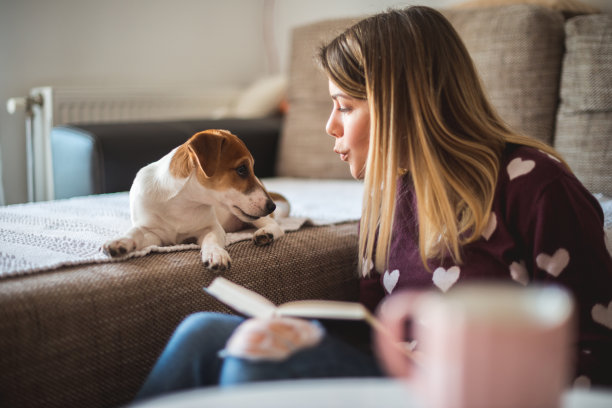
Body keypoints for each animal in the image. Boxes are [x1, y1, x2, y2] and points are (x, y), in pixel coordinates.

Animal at [104, 129, 286, 272]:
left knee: (274, 225)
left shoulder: (212, 227)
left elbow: (212, 238)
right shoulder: (154, 233)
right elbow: (136, 232)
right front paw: (120, 242)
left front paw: (215, 253)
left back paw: (266, 233)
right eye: (242, 169)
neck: (181, 203)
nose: (272, 206)